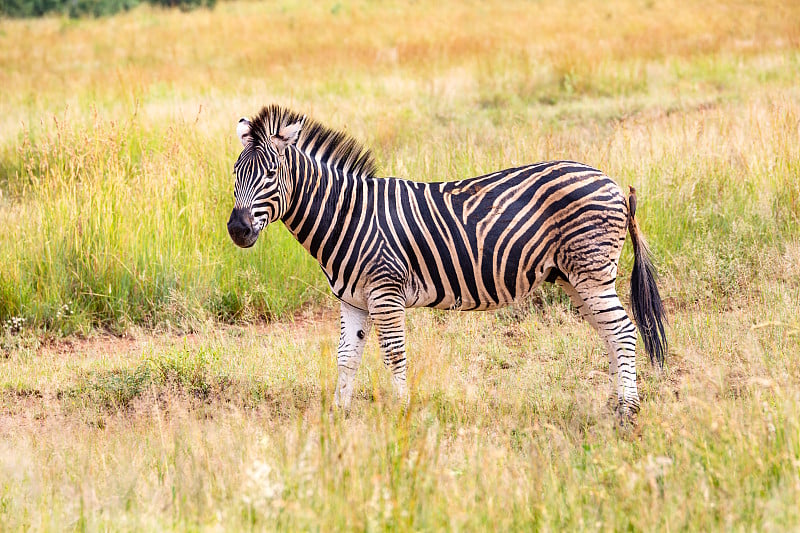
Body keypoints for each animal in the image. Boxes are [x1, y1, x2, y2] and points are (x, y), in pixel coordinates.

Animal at [228, 105, 664, 420]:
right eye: (235, 174)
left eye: (270, 174)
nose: (236, 229)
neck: (349, 215)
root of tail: (611, 182)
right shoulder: (353, 300)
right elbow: (346, 358)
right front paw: (338, 415)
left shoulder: (385, 293)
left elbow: (394, 354)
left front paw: (402, 414)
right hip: (576, 279)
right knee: (610, 334)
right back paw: (614, 404)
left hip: (592, 274)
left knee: (623, 331)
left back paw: (628, 412)